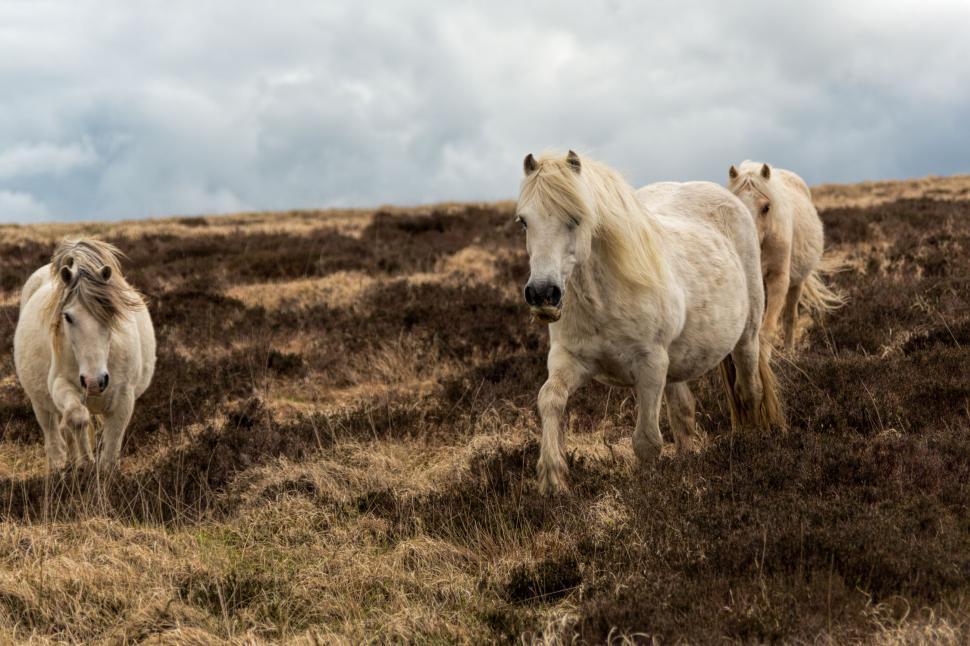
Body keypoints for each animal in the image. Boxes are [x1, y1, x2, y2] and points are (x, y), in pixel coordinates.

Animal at [13, 238, 156, 471]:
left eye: (110, 313)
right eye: (68, 317)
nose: (94, 382)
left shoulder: (124, 398)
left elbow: (112, 446)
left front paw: (103, 470)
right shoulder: (60, 384)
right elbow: (77, 417)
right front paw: (87, 461)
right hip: (41, 404)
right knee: (54, 433)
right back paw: (62, 466)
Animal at [518, 151, 784, 494]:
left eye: (575, 218)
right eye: (524, 221)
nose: (542, 293)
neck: (605, 297)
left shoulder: (650, 366)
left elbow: (646, 441)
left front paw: (648, 490)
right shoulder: (570, 360)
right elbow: (549, 399)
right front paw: (553, 479)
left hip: (746, 340)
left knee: (748, 390)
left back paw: (751, 443)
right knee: (684, 411)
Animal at [728, 161, 843, 353]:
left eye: (766, 207)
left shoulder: (779, 280)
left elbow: (767, 330)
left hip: (797, 284)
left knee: (790, 317)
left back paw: (789, 352)